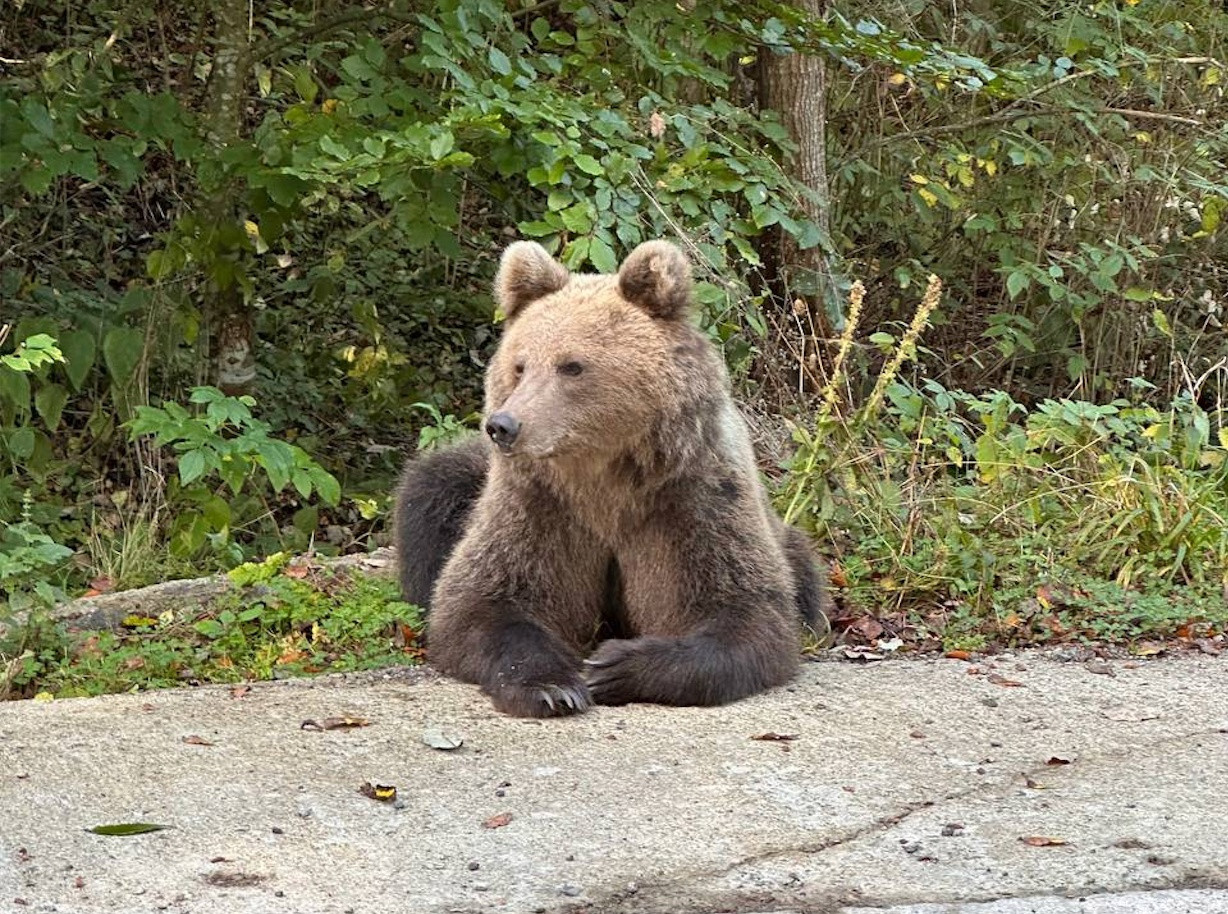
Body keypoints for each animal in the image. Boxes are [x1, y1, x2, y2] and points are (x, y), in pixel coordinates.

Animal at [395, 239, 835, 717]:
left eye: (571, 366)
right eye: (520, 365)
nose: (504, 425)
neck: (602, 476)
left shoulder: (692, 498)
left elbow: (745, 611)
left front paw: (614, 666)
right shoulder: (538, 503)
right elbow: (482, 601)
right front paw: (553, 685)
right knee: (433, 490)